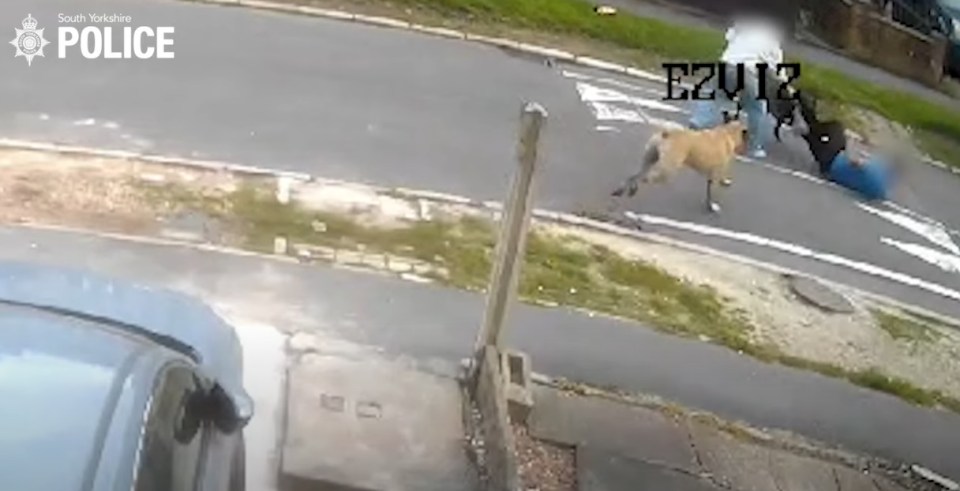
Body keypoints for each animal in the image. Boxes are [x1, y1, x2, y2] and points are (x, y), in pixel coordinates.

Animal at [612, 119, 748, 213]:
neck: (727, 133)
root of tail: (666, 133)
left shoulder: (713, 174)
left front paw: (724, 182)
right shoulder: (715, 174)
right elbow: (712, 193)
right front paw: (712, 206)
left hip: (649, 160)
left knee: (634, 175)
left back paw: (620, 190)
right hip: (666, 171)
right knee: (643, 177)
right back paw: (632, 189)